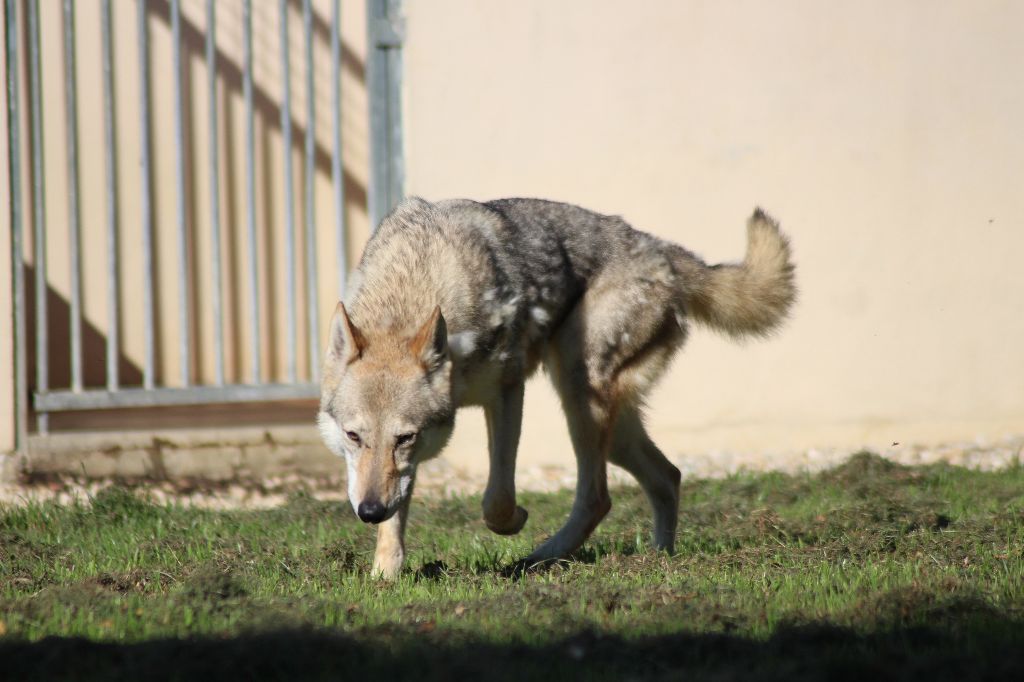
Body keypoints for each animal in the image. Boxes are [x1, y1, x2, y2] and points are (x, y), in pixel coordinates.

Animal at [318, 197, 795, 578]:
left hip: (580, 397)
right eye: (354, 436)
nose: (368, 511)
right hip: (613, 430)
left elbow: (497, 501)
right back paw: (658, 560)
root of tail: (662, 250)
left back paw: (537, 559)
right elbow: (396, 514)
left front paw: (515, 521)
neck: (413, 288)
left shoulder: (507, 393)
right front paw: (385, 574)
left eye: (406, 437)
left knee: (598, 497)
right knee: (667, 476)